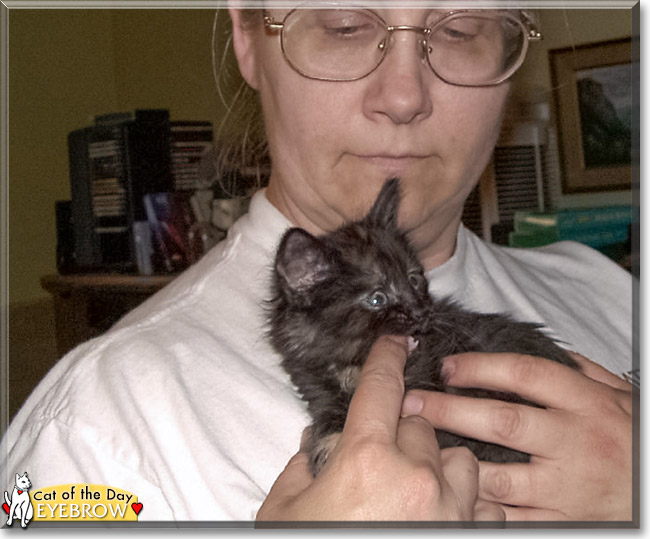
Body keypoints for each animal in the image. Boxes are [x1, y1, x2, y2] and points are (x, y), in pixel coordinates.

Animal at [268, 178, 576, 476]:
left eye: (414, 280)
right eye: (377, 298)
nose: (421, 311)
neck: (351, 364)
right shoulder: (319, 390)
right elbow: (330, 416)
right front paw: (328, 446)